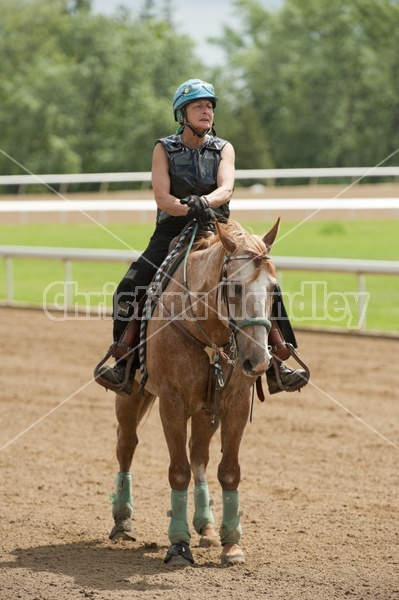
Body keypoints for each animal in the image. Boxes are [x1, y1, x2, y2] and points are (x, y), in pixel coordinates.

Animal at [108, 219, 280, 568]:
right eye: (235, 287)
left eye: (272, 288)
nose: (258, 360)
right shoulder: (172, 404)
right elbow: (178, 472)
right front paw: (178, 545)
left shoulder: (235, 404)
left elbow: (228, 471)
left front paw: (231, 545)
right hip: (130, 396)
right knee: (126, 445)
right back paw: (122, 520)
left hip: (205, 411)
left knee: (199, 455)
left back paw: (207, 526)